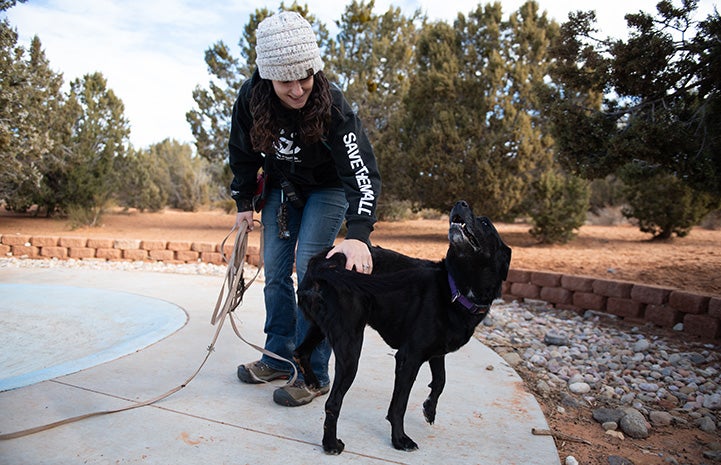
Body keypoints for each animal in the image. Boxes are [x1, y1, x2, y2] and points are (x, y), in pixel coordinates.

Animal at [294, 199, 512, 454]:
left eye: (486, 223)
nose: (461, 203)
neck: (455, 287)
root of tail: (323, 262)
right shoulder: (409, 357)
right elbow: (399, 406)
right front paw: (399, 439)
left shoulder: (436, 352)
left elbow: (441, 380)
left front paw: (429, 409)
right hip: (351, 346)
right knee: (333, 402)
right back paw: (330, 443)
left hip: (321, 328)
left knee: (300, 351)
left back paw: (312, 382)